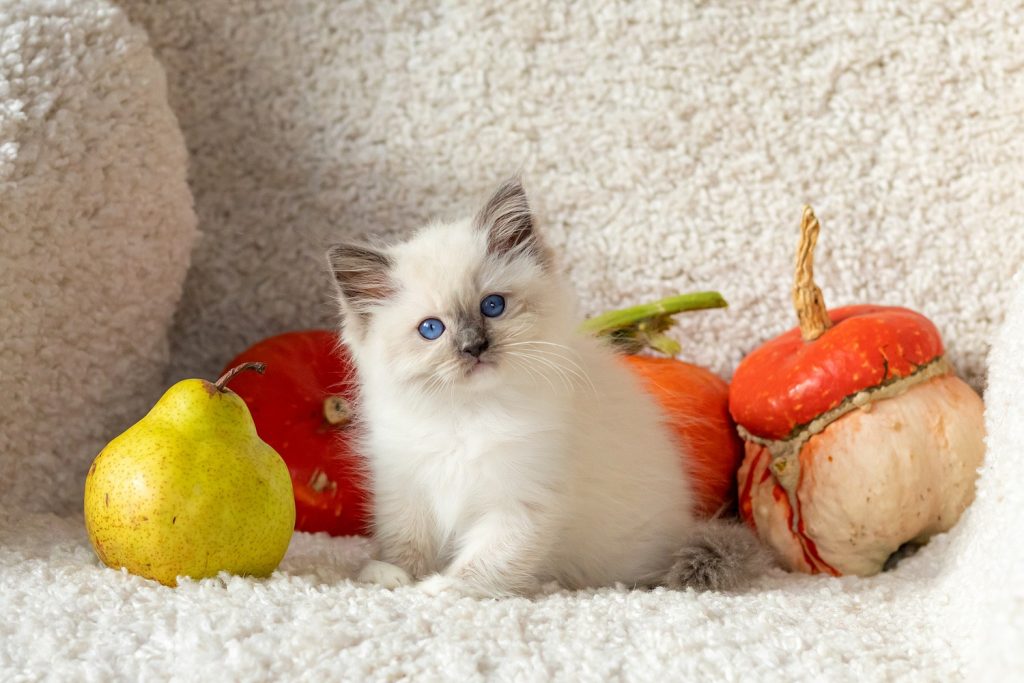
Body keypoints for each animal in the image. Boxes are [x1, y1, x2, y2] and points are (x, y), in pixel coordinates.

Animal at [327, 177, 772, 598]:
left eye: (492, 306)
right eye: (431, 329)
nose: (474, 347)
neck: (468, 413)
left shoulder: (522, 502)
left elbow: (487, 560)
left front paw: (440, 588)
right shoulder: (406, 489)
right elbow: (405, 543)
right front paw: (392, 575)